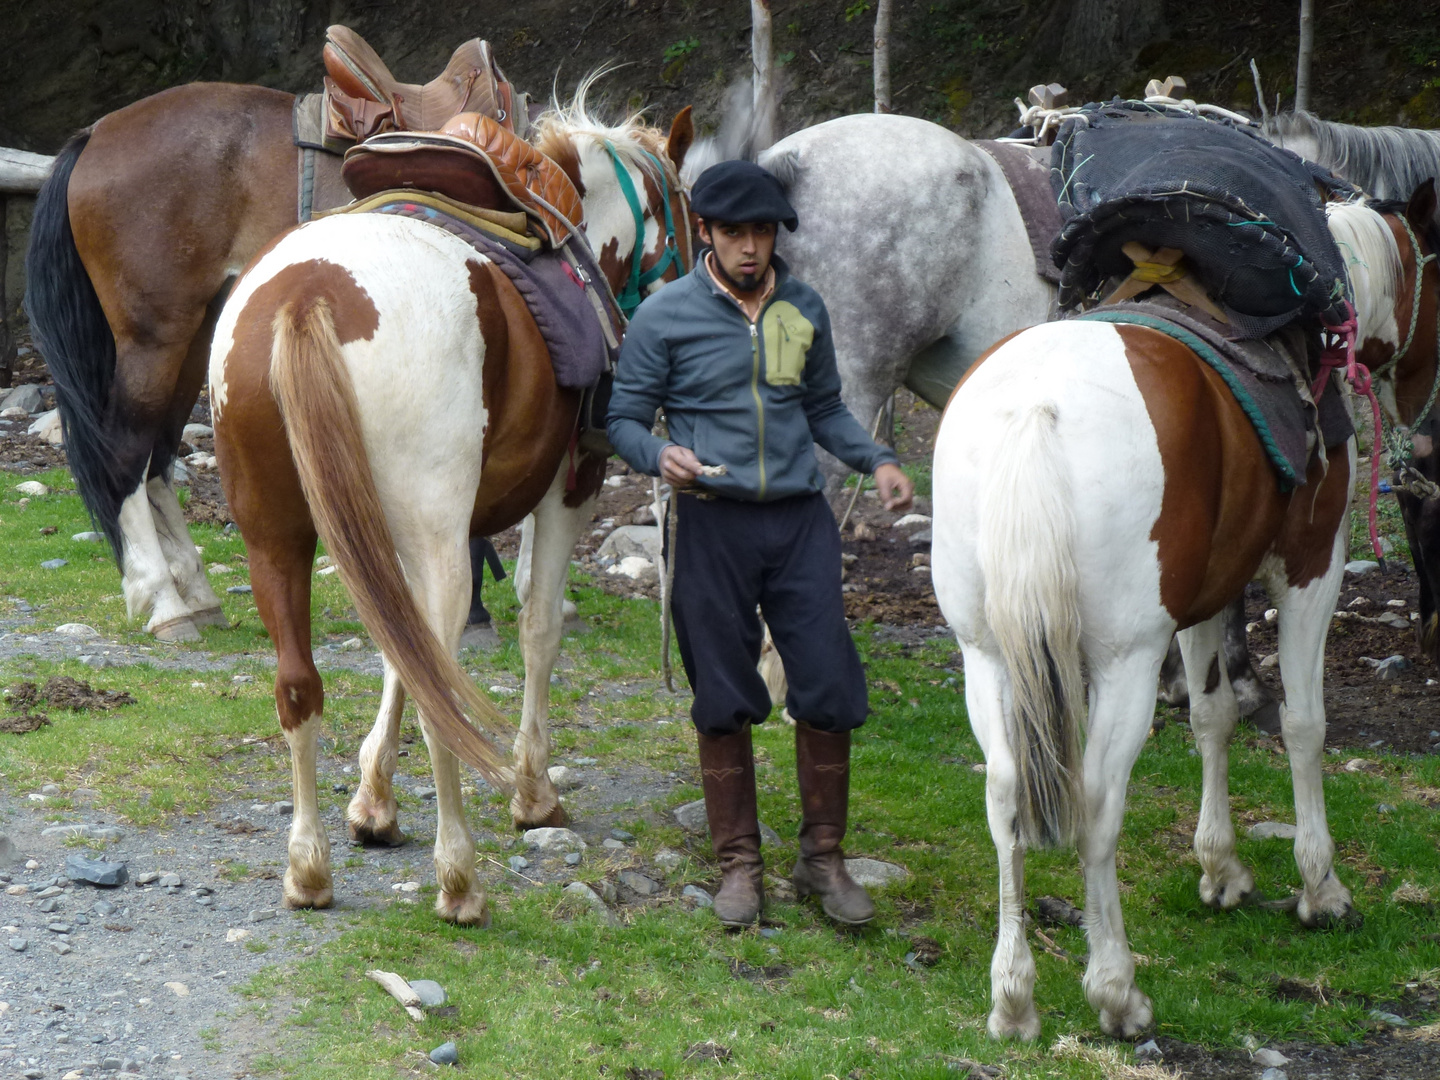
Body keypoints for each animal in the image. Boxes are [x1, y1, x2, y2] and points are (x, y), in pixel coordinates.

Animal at [207, 88, 691, 927]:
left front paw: (373, 804)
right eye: (694, 219)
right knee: (441, 706)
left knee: (301, 686)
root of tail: (307, 293)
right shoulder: (570, 489)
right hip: (432, 536)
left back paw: (309, 870)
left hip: (275, 538)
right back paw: (459, 878)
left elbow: (402, 655)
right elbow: (537, 627)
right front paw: (533, 793)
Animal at [927, 184, 1434, 1042]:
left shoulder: (1203, 595)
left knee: (1004, 797)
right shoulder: (1312, 570)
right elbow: (1304, 725)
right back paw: (1116, 991)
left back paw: (1013, 998)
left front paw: (1220, 866)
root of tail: (1037, 408)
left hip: (987, 657)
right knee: (1098, 805)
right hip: (1124, 661)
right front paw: (1320, 887)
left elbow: (1211, 715)